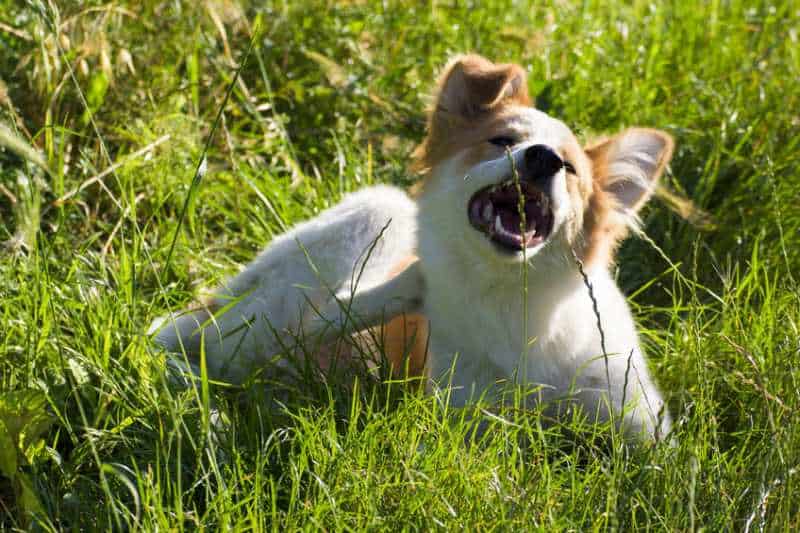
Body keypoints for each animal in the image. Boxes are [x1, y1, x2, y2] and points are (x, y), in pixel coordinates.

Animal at [153, 55, 672, 440]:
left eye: (569, 169)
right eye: (501, 140)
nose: (542, 158)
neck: (513, 299)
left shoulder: (639, 418)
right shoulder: (470, 420)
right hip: (374, 215)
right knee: (208, 344)